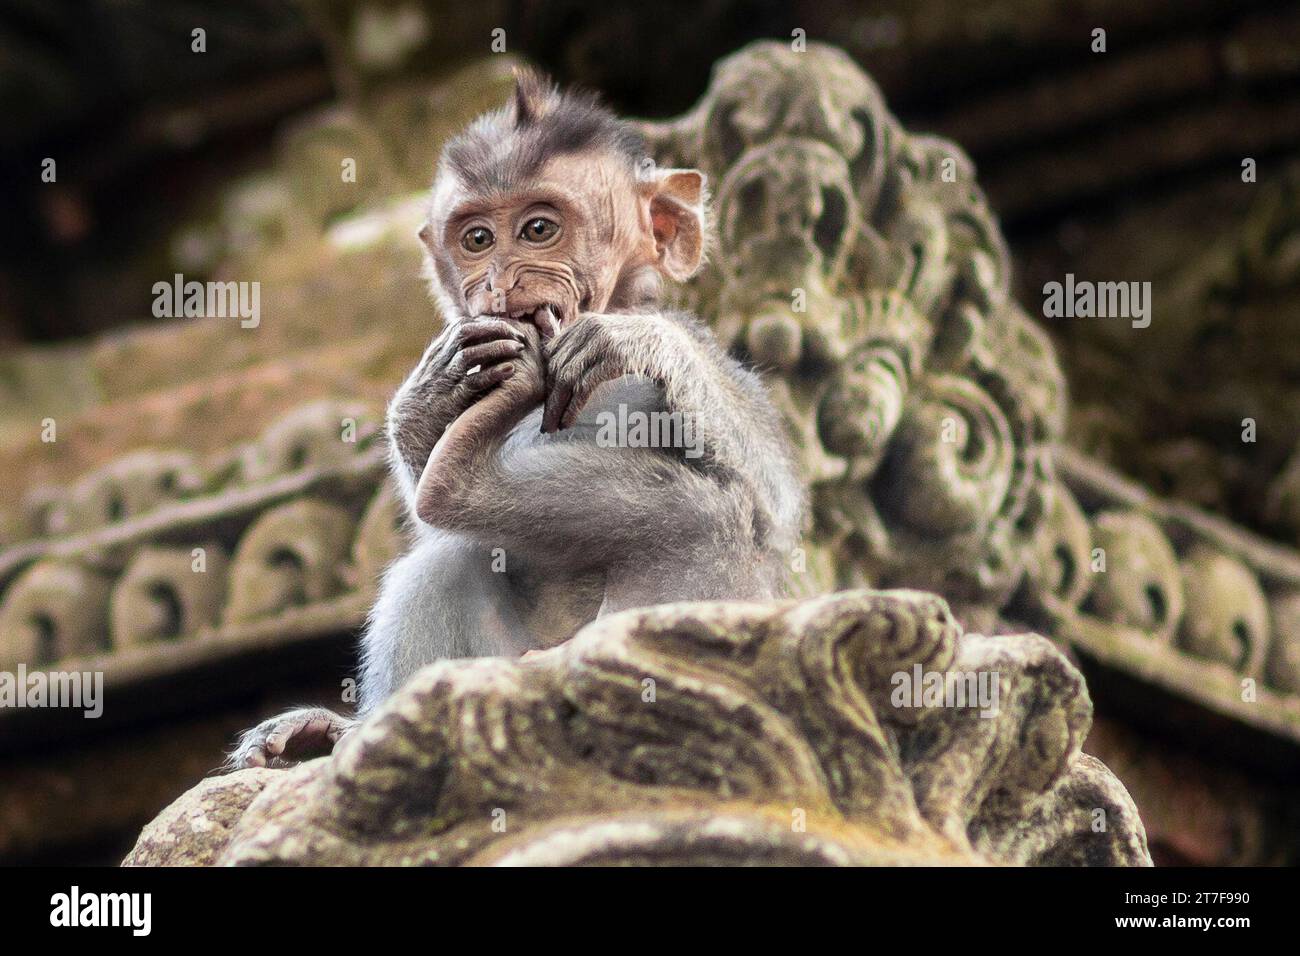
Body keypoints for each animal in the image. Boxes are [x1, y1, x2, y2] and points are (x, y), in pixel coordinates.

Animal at [228, 70, 803, 769]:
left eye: (537, 229)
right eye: (477, 240)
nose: (500, 282)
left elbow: (772, 497)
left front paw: (634, 342)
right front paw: (431, 395)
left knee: (716, 516)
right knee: (446, 558)